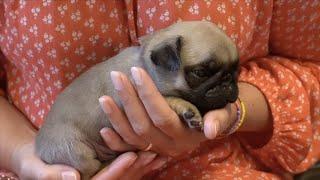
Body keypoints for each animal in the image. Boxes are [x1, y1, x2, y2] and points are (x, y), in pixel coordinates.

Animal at [36, 21, 239, 179]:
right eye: (201, 73)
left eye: (236, 70)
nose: (227, 81)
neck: (146, 65)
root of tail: (39, 148)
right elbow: (171, 98)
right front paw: (188, 110)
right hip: (77, 151)